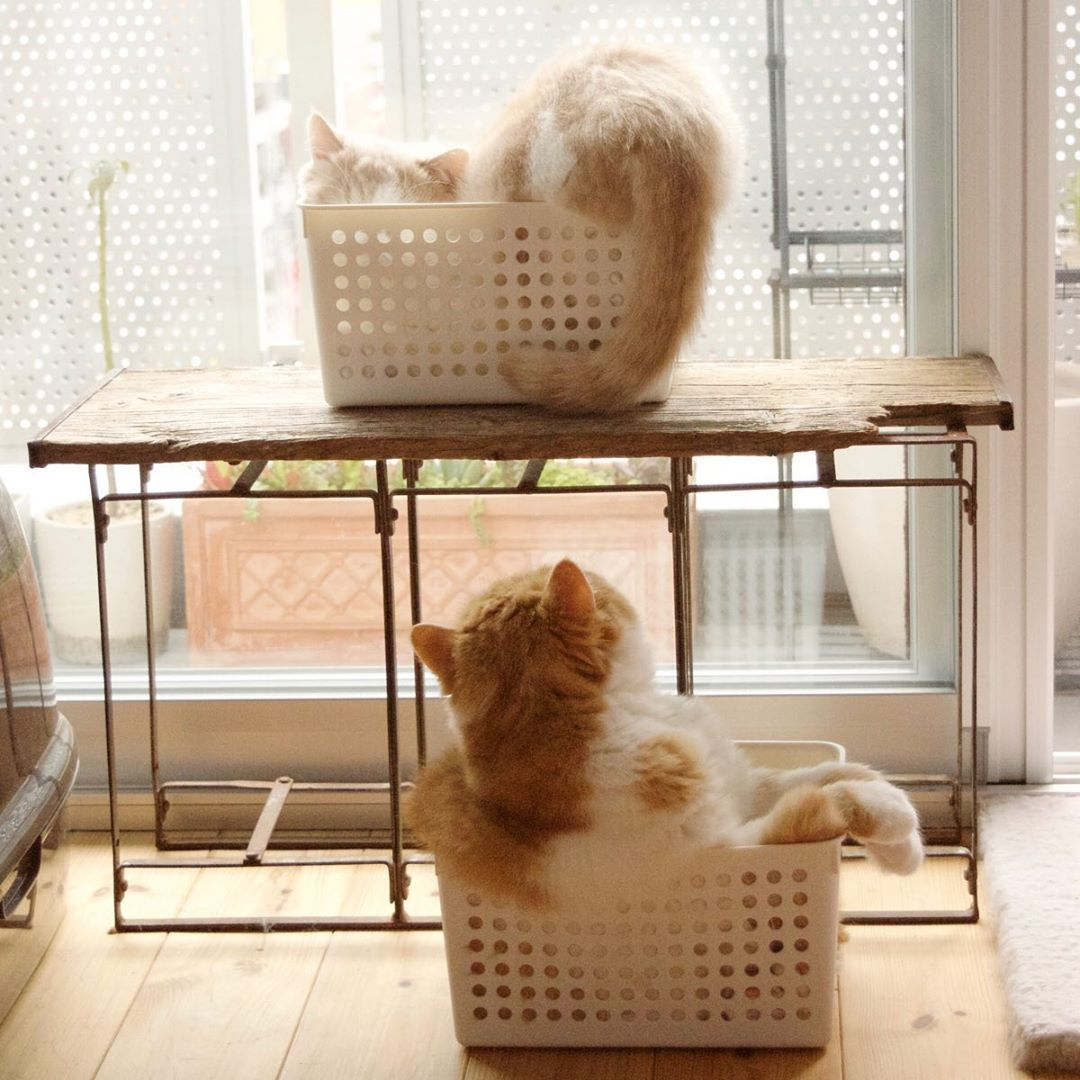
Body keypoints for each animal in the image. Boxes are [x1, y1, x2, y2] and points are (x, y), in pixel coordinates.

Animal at [407, 558, 924, 912]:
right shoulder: (731, 844)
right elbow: (826, 802)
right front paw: (894, 818)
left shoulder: (740, 787)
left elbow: (829, 772)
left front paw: (904, 848)